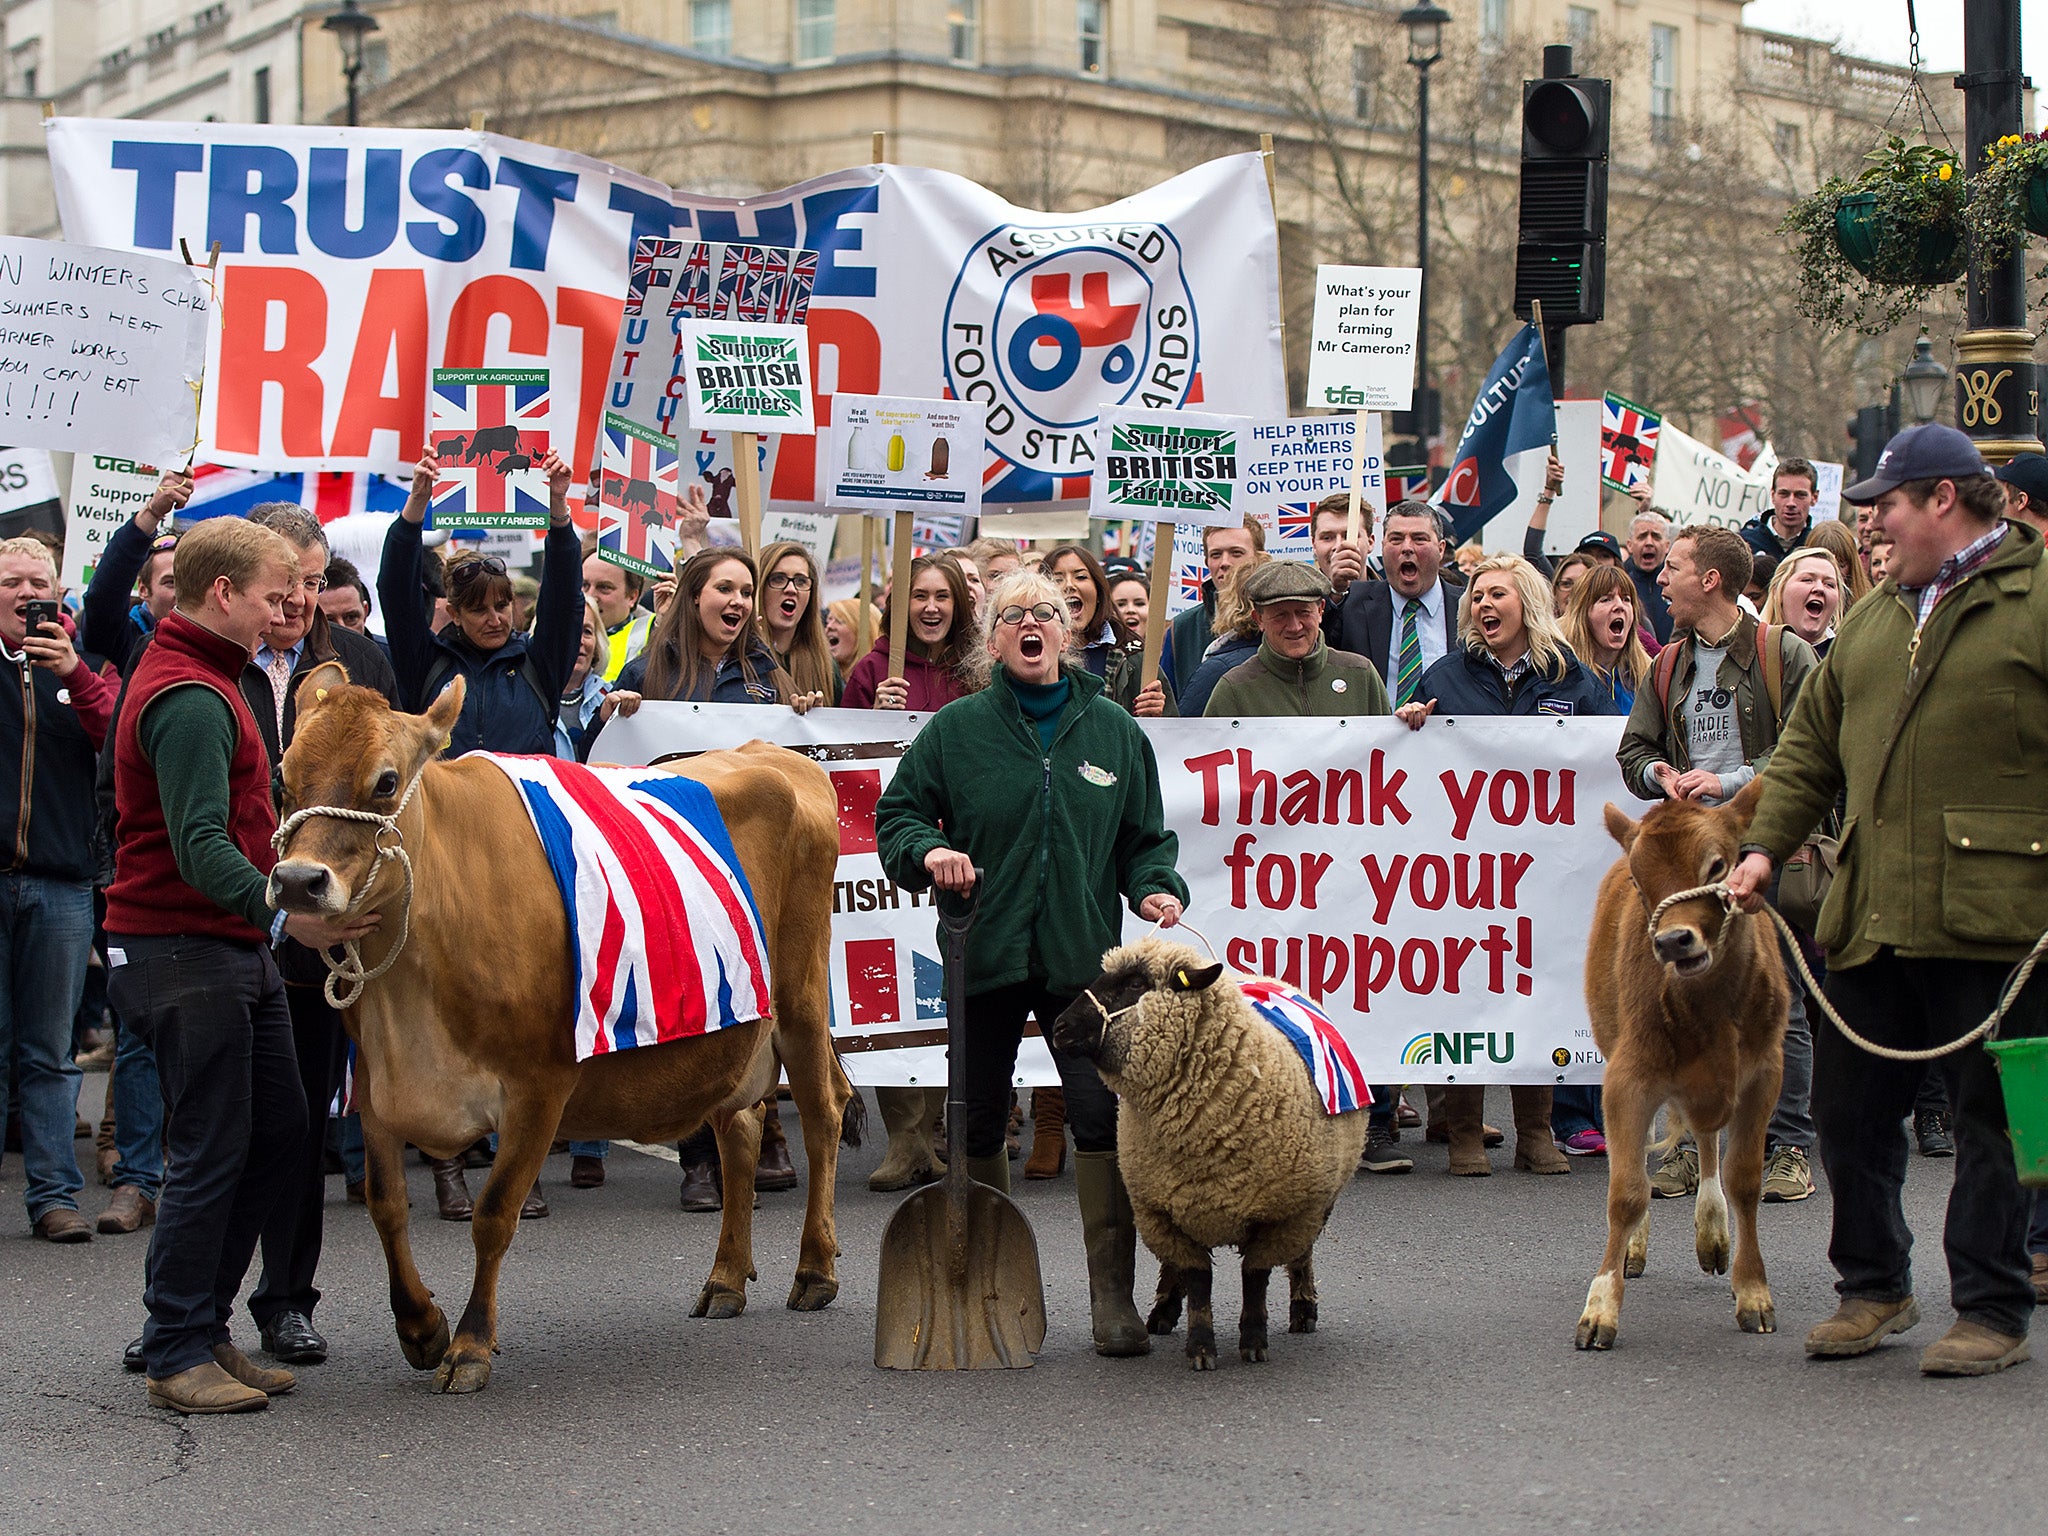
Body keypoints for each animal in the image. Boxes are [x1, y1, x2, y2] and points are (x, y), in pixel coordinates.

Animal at [266, 667, 856, 1400]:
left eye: (385, 780)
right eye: (283, 778)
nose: (298, 882)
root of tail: (771, 753)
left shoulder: (539, 1083)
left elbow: (495, 1214)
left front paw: (469, 1344)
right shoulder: (376, 1088)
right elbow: (385, 1206)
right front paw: (420, 1327)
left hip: (800, 997)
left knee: (823, 1111)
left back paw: (815, 1269)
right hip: (733, 1026)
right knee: (740, 1129)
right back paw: (724, 1280)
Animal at [1048, 946, 1368, 1376]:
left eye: (1136, 982)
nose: (1059, 1028)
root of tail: (1269, 978)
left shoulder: (1282, 1214)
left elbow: (1255, 1277)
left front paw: (1253, 1341)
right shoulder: (1162, 1211)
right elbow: (1198, 1280)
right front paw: (1200, 1347)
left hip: (1315, 1204)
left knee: (1302, 1254)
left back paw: (1303, 1308)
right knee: (1172, 1267)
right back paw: (1163, 1312)